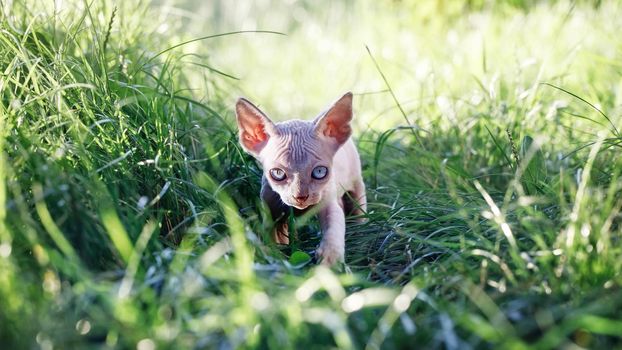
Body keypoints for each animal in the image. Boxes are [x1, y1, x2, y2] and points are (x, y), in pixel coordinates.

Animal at [236, 91, 368, 264]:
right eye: (278, 173)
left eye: (319, 171)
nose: (300, 197)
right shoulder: (271, 210)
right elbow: (271, 238)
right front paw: (273, 256)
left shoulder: (328, 203)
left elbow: (333, 226)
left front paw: (329, 258)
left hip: (356, 184)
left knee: (358, 206)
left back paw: (362, 231)